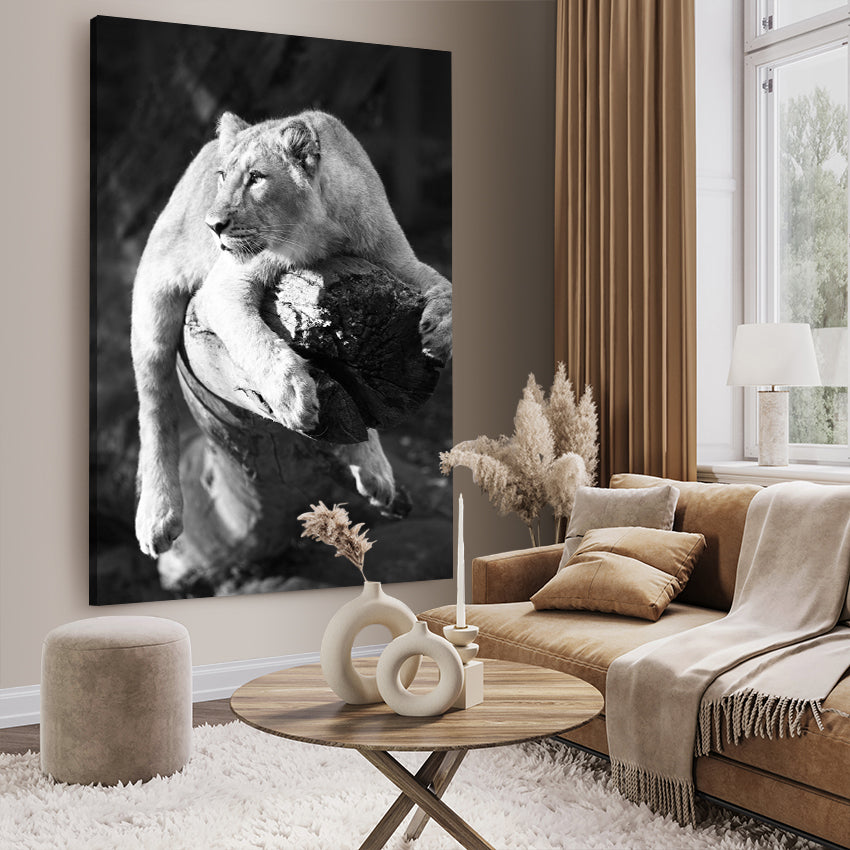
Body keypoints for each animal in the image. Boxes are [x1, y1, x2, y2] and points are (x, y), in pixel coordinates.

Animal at [131, 110, 452, 558]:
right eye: (223, 176)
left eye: (256, 178)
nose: (212, 225)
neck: (324, 235)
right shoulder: (222, 286)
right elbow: (255, 339)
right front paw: (292, 394)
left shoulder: (397, 260)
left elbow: (445, 285)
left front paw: (439, 331)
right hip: (153, 302)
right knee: (154, 406)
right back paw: (158, 515)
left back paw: (376, 473)